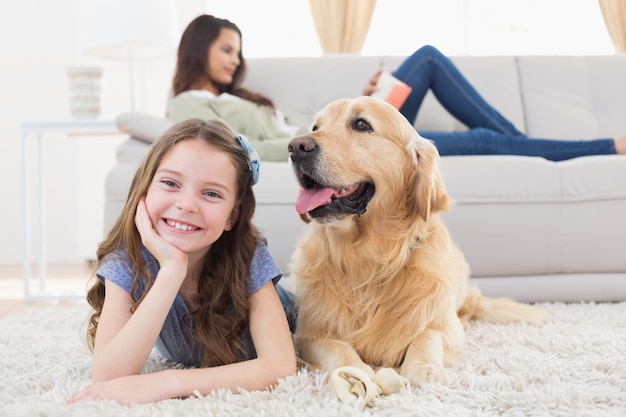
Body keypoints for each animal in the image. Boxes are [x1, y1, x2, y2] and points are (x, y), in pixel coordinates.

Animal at [286, 96, 548, 398]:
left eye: (361, 124)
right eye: (315, 127)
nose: (295, 147)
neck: (368, 260)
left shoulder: (445, 326)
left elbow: (427, 334)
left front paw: (425, 369)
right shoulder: (306, 334)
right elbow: (336, 345)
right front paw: (354, 372)